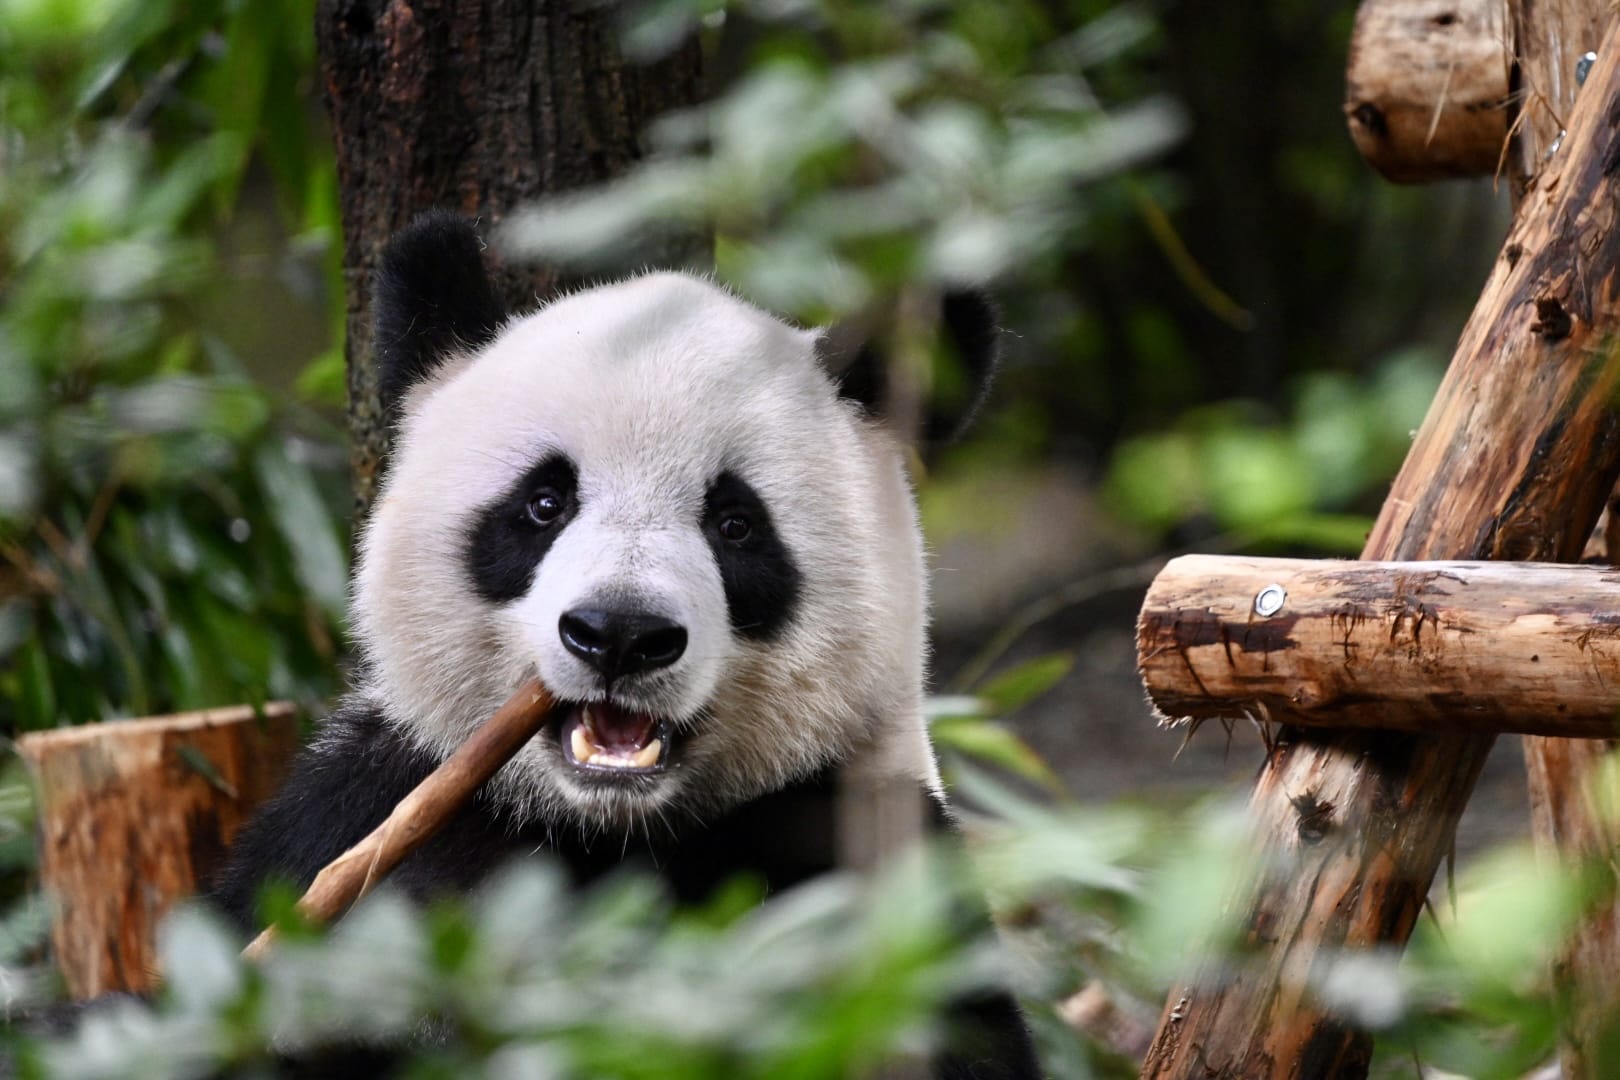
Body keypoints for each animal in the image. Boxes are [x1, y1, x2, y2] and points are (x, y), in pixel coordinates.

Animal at [212, 211, 1040, 1078]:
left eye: (735, 524)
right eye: (544, 502)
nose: (620, 635)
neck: (603, 826)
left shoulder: (861, 842)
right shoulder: (355, 814)